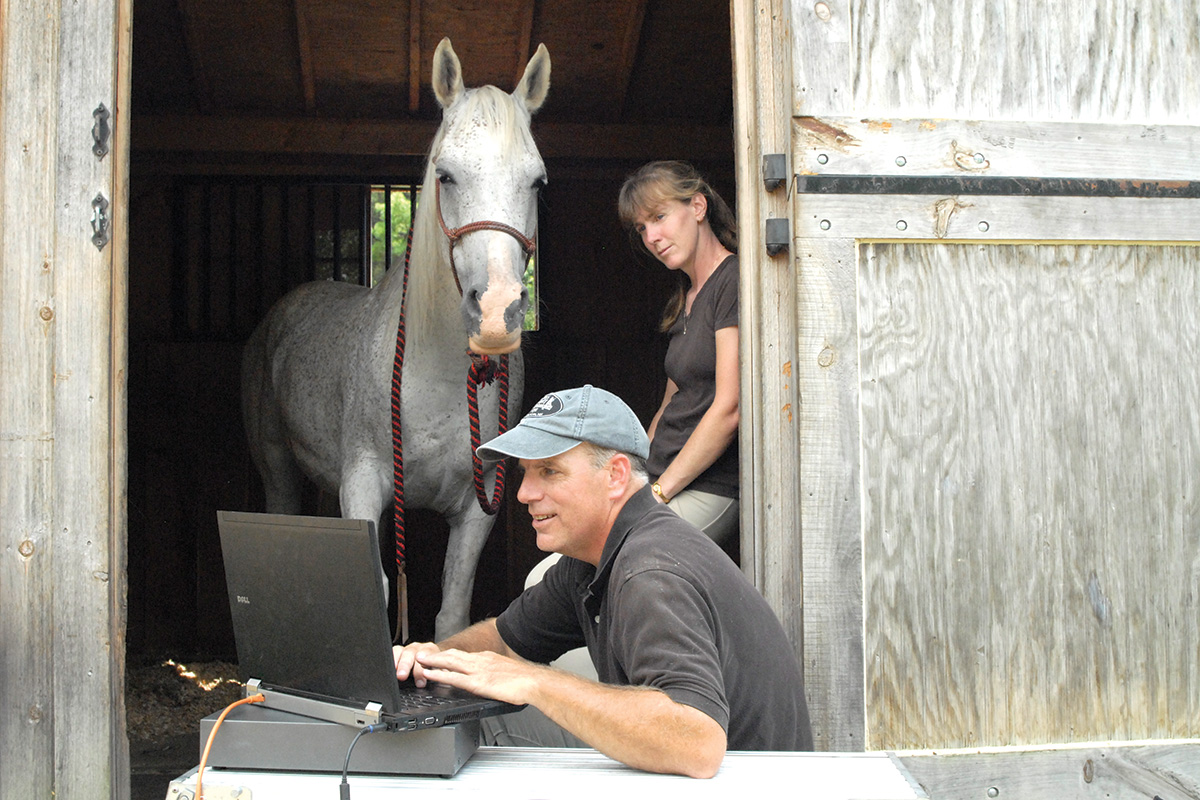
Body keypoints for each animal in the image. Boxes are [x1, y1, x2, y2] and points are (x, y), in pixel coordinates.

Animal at [240, 37, 549, 642]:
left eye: (537, 181)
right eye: (446, 175)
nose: (497, 315)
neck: (438, 375)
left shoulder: (478, 504)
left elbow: (452, 611)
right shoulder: (363, 483)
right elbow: (376, 593)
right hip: (279, 469)